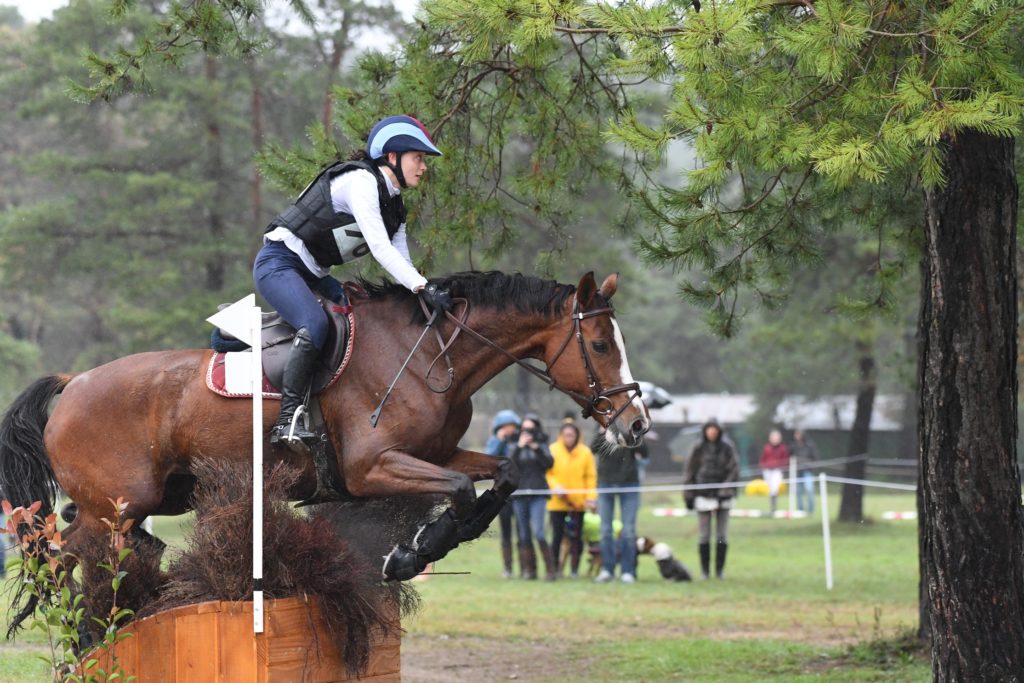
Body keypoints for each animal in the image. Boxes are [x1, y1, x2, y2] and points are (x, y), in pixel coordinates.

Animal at [2, 272, 647, 630]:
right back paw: (85, 628)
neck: (428, 354)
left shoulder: (438, 453)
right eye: (598, 344)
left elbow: (504, 475)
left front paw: (423, 546)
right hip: (117, 505)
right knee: (63, 552)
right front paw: (412, 552)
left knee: (80, 546)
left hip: (149, 500)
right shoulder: (371, 468)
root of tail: (74, 382)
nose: (636, 425)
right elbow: (463, 492)